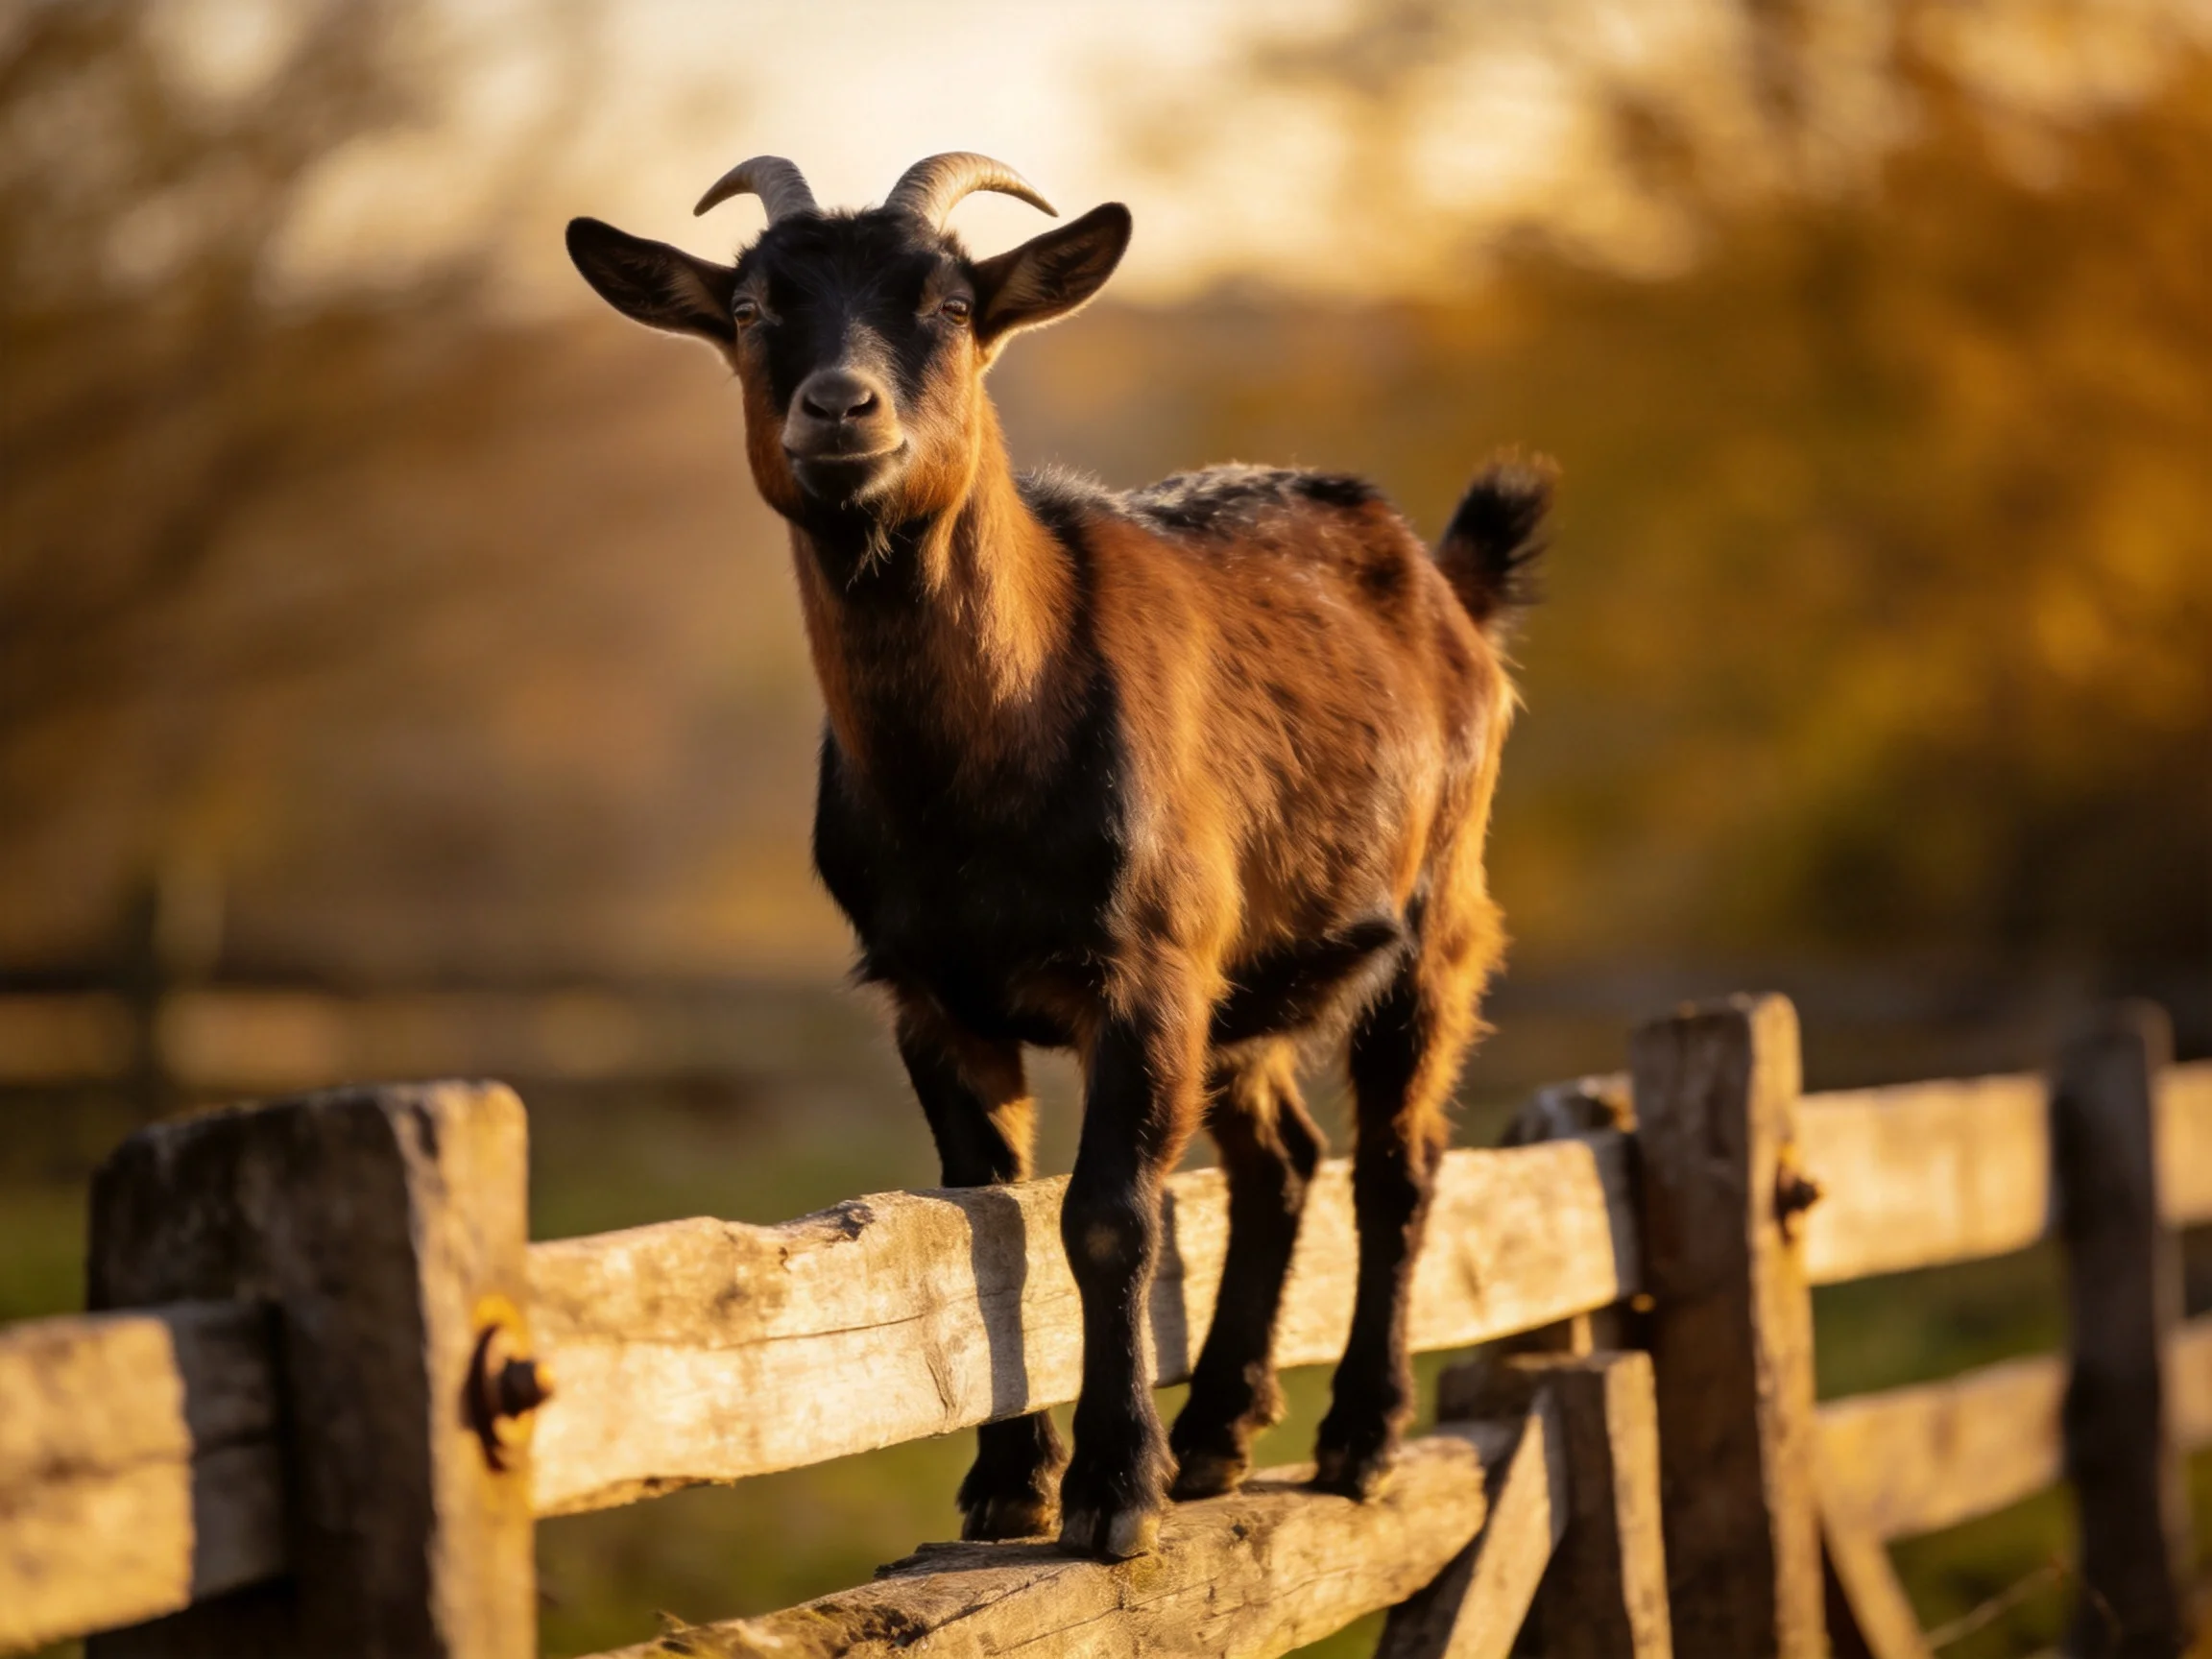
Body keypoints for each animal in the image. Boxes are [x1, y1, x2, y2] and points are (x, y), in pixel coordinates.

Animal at [567, 152, 1549, 1560]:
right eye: (751, 310)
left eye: (952, 305)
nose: (840, 407)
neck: (975, 782)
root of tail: (1447, 580)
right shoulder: (934, 998)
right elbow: (983, 1219)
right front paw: (1006, 1486)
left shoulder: (1143, 975)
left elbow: (1107, 1216)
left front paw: (1111, 1491)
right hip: (1241, 987)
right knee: (1284, 1160)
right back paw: (1221, 1434)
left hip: (1435, 916)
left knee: (1398, 1163)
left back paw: (1357, 1438)